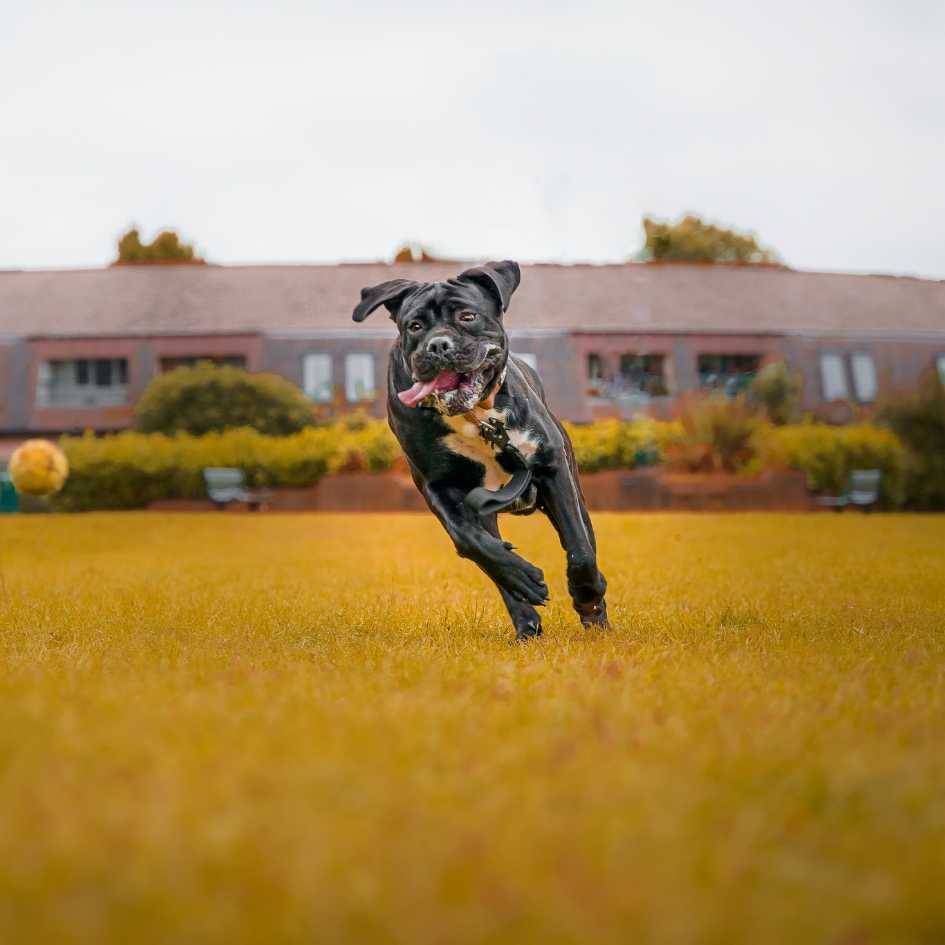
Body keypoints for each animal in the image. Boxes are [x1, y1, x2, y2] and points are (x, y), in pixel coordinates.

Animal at [350, 262, 608, 636]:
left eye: (467, 316)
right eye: (415, 326)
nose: (438, 345)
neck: (476, 416)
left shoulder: (551, 466)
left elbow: (580, 549)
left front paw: (587, 598)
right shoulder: (438, 486)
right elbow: (471, 541)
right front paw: (522, 577)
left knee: (585, 539)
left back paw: (596, 614)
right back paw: (526, 621)